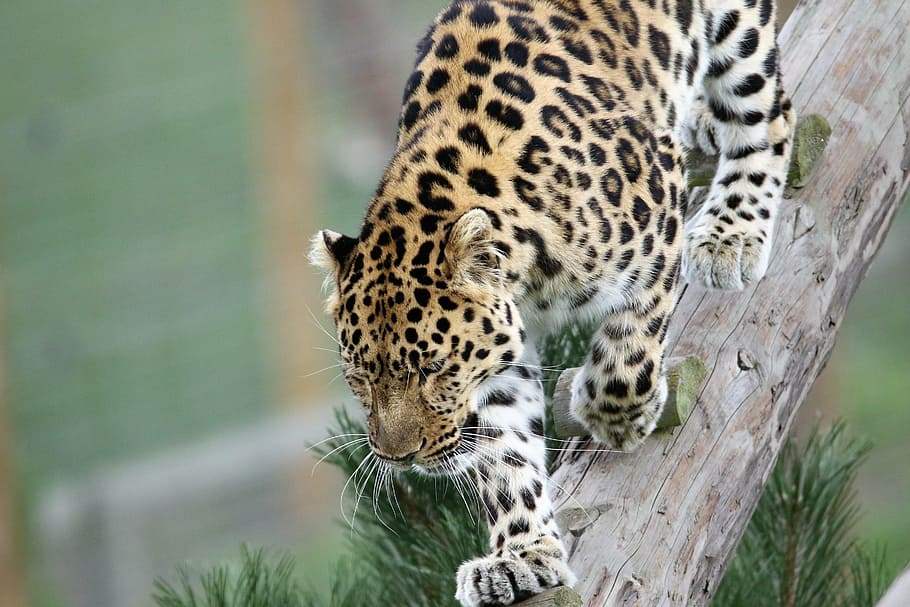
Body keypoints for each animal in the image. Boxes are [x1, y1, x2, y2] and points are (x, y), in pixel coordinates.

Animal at [311, 0, 794, 604]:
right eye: (359, 378)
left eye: (434, 368)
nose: (399, 457)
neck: (529, 281)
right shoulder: (502, 357)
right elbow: (505, 456)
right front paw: (520, 557)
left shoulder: (659, 200)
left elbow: (631, 346)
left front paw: (618, 418)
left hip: (738, 33)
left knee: (769, 116)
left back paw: (731, 233)